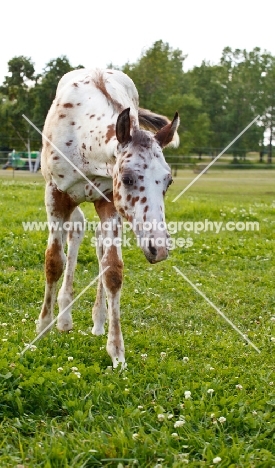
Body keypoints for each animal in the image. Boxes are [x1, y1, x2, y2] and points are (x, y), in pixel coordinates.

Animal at [38, 67, 181, 368]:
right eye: (127, 178)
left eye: (168, 181)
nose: (159, 248)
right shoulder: (55, 195)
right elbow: (54, 260)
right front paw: (42, 328)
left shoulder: (108, 202)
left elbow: (112, 269)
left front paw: (117, 352)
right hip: (70, 200)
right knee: (77, 230)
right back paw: (63, 317)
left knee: (95, 243)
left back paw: (95, 321)